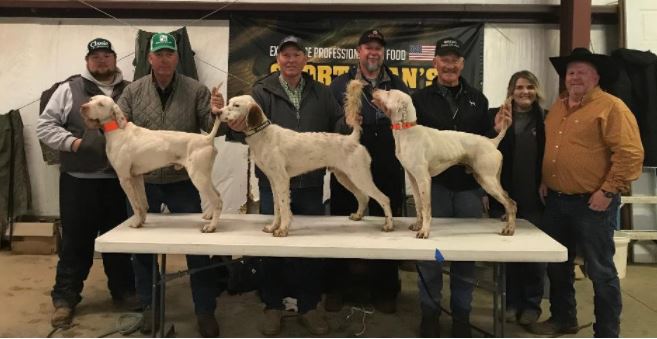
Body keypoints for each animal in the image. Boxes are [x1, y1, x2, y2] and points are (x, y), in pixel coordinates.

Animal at [78, 95, 223, 234]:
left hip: (198, 177)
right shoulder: (136, 177)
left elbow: (135, 205)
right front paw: (141, 221)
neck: (118, 130)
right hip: (204, 175)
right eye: (91, 99)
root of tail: (207, 138)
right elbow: (142, 204)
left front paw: (136, 223)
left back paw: (211, 227)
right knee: (218, 195)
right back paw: (209, 216)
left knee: (217, 201)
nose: (83, 107)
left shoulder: (125, 178)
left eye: (100, 104)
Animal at [215, 86, 392, 238]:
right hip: (345, 177)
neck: (263, 135)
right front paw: (273, 227)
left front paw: (282, 230)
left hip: (360, 176)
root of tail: (352, 139)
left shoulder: (282, 179)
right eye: (228, 103)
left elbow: (284, 207)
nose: (216, 112)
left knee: (383, 198)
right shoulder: (273, 180)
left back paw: (388, 225)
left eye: (236, 105)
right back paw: (358, 216)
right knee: (363, 197)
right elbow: (277, 207)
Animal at [358, 81, 516, 239]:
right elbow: (418, 205)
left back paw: (509, 229)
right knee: (509, 199)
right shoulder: (413, 179)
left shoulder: (424, 179)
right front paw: (418, 225)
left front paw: (424, 231)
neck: (407, 131)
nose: (372, 87)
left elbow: (426, 208)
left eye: (389, 92)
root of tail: (492, 142)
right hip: (489, 179)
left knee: (511, 204)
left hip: (487, 180)